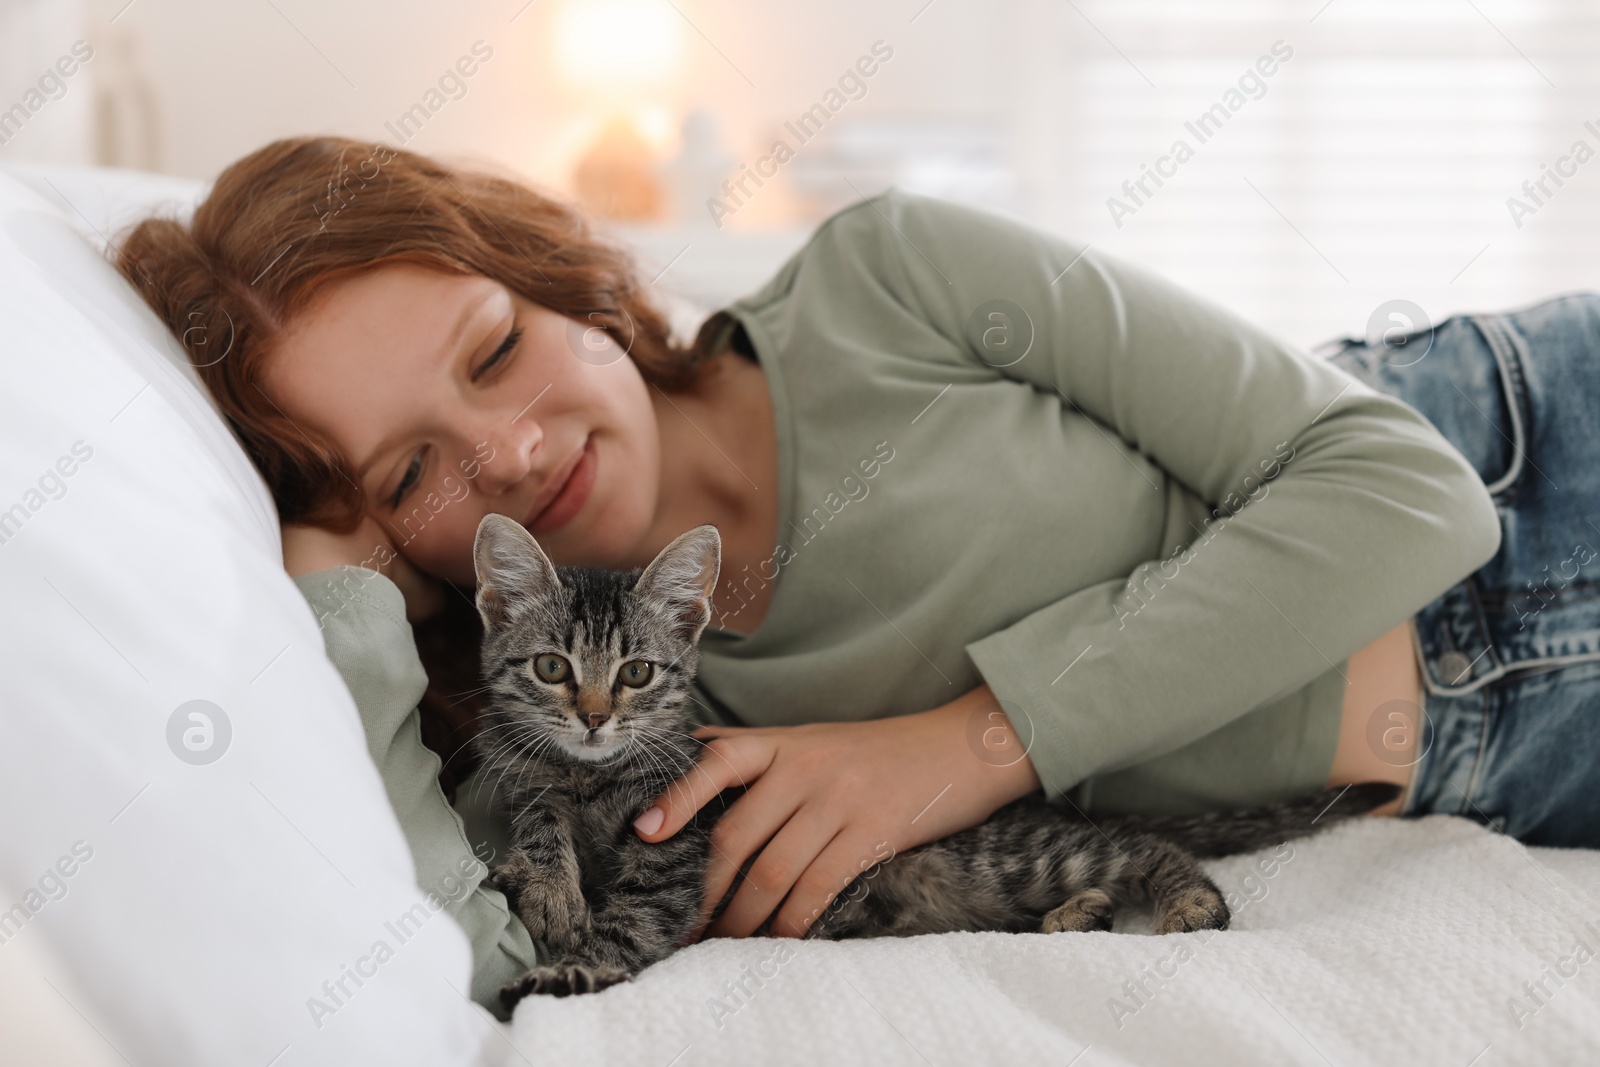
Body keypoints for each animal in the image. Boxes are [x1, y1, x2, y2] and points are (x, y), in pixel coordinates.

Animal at [473, 515, 1401, 1011]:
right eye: (553, 667)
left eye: (636, 673)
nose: (594, 718)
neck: (594, 775)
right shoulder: (521, 772)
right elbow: (532, 798)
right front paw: (550, 876)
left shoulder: (675, 841)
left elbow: (632, 920)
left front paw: (567, 967)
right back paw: (1079, 916)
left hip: (1009, 854)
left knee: (1151, 847)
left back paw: (1184, 903)